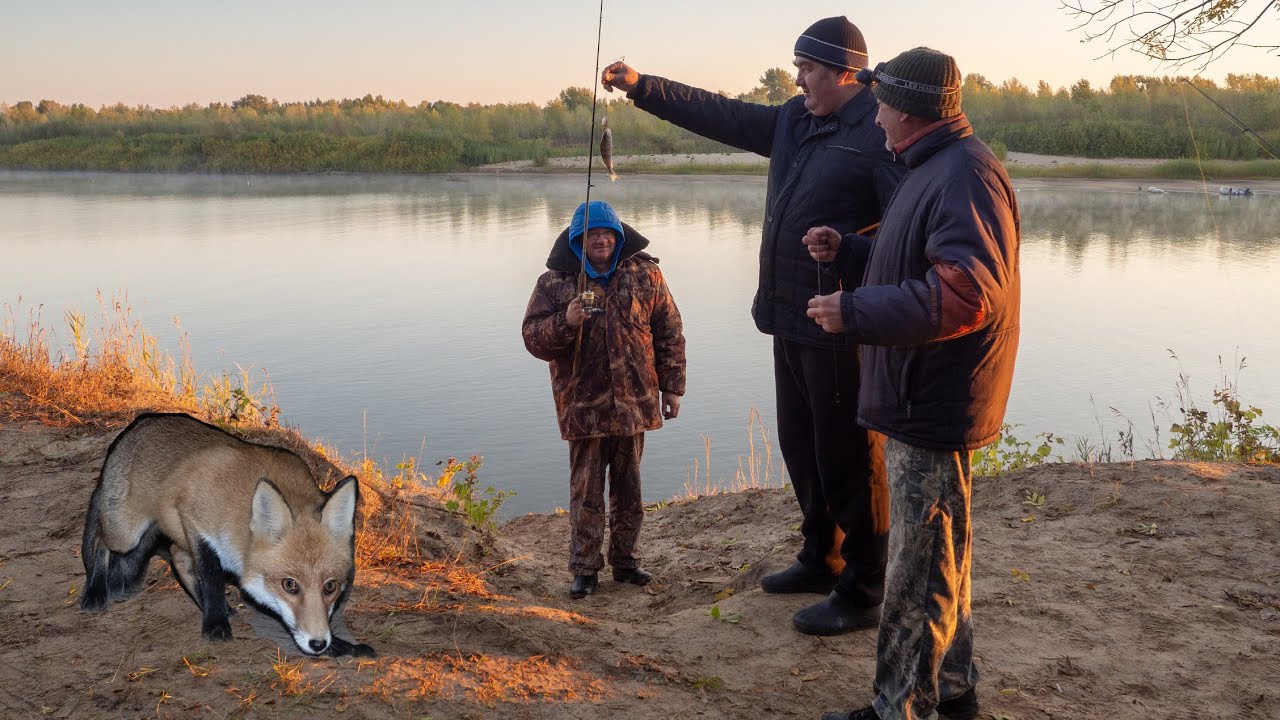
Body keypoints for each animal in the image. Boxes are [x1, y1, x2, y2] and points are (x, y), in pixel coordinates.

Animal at [80, 413, 375, 658]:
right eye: (289, 585)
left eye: (330, 586)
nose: (318, 644)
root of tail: (141, 420)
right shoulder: (195, 520)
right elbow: (212, 577)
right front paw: (215, 625)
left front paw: (340, 645)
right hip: (126, 533)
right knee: (101, 542)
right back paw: (94, 591)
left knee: (176, 557)